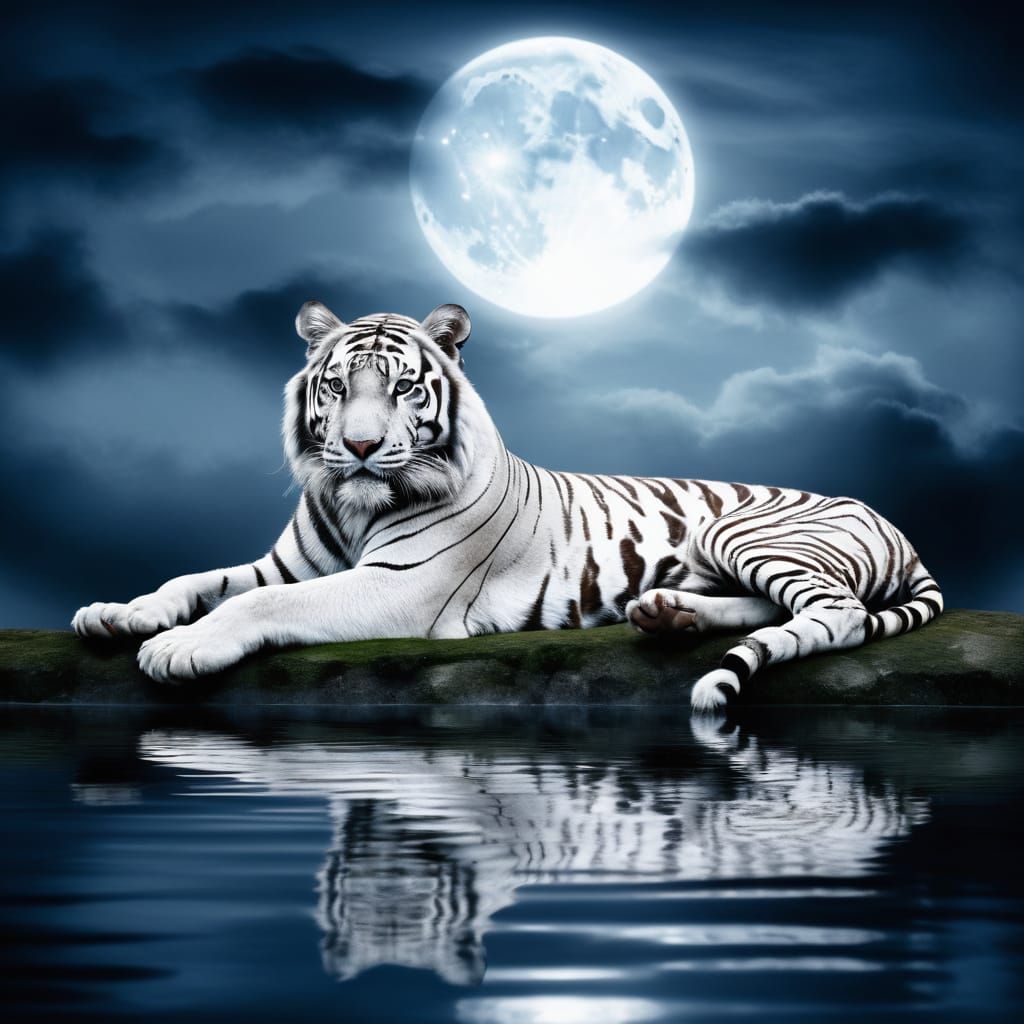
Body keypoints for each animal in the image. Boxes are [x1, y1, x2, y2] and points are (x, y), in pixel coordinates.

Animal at [72, 301, 944, 710]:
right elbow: (197, 581)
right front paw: (118, 613)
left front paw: (178, 648)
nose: (359, 446)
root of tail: (897, 527)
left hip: (747, 531)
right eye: (336, 386)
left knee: (837, 614)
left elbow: (258, 606)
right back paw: (668, 614)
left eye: (402, 387)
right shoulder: (283, 562)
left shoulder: (398, 588)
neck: (354, 506)